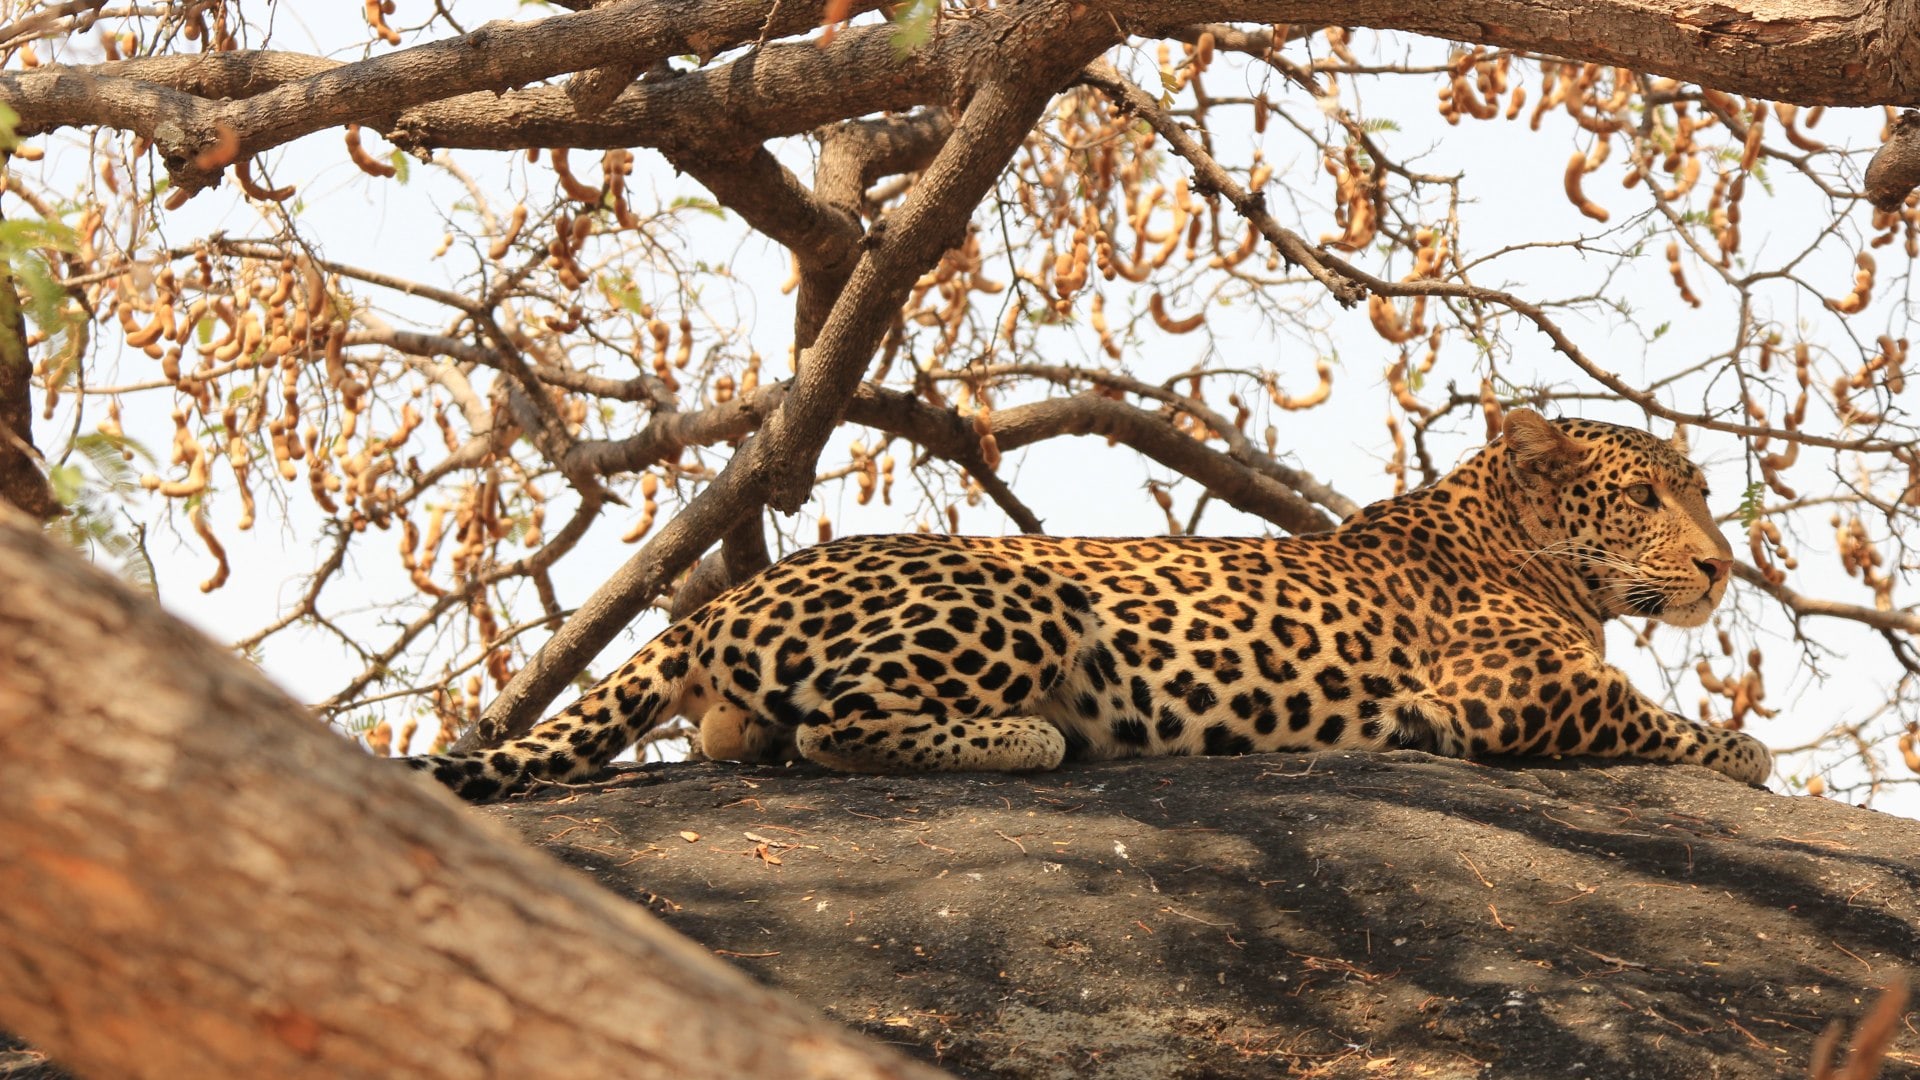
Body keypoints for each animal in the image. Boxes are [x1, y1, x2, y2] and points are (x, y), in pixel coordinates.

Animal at [409, 409, 1772, 801]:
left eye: (1704, 493)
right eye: (1648, 497)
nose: (1722, 567)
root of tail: (717, 600)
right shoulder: (1511, 690)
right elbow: (1663, 721)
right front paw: (1742, 752)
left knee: (756, 737)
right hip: (1027, 596)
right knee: (837, 729)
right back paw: (1038, 735)